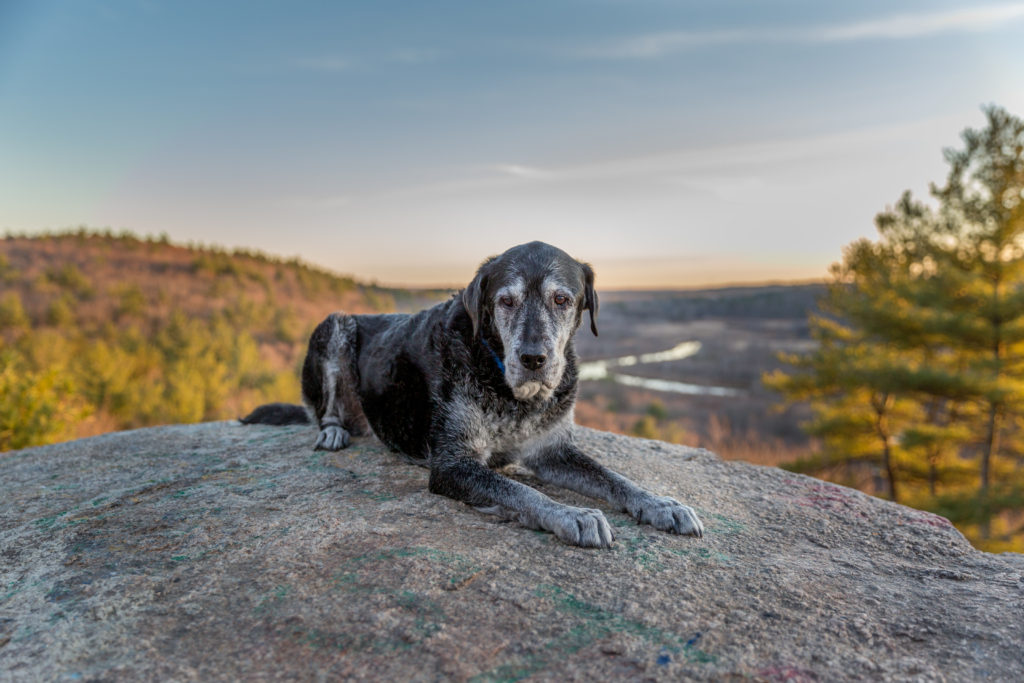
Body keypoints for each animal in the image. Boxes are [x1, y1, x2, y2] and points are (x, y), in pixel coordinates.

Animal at [241, 242, 704, 548]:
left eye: (562, 299)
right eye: (505, 301)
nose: (533, 358)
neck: (511, 391)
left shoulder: (552, 449)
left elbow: (613, 477)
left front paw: (660, 504)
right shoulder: (453, 464)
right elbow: (524, 492)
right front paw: (572, 513)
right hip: (336, 323)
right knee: (323, 410)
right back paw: (333, 430)